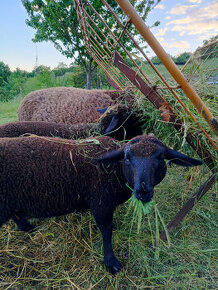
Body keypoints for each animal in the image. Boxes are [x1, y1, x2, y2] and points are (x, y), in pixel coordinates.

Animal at [0, 135, 202, 274]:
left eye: (161, 158)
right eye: (127, 157)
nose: (143, 191)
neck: (115, 169)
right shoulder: (101, 204)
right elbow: (106, 231)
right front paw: (111, 263)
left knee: (16, 214)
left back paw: (27, 227)